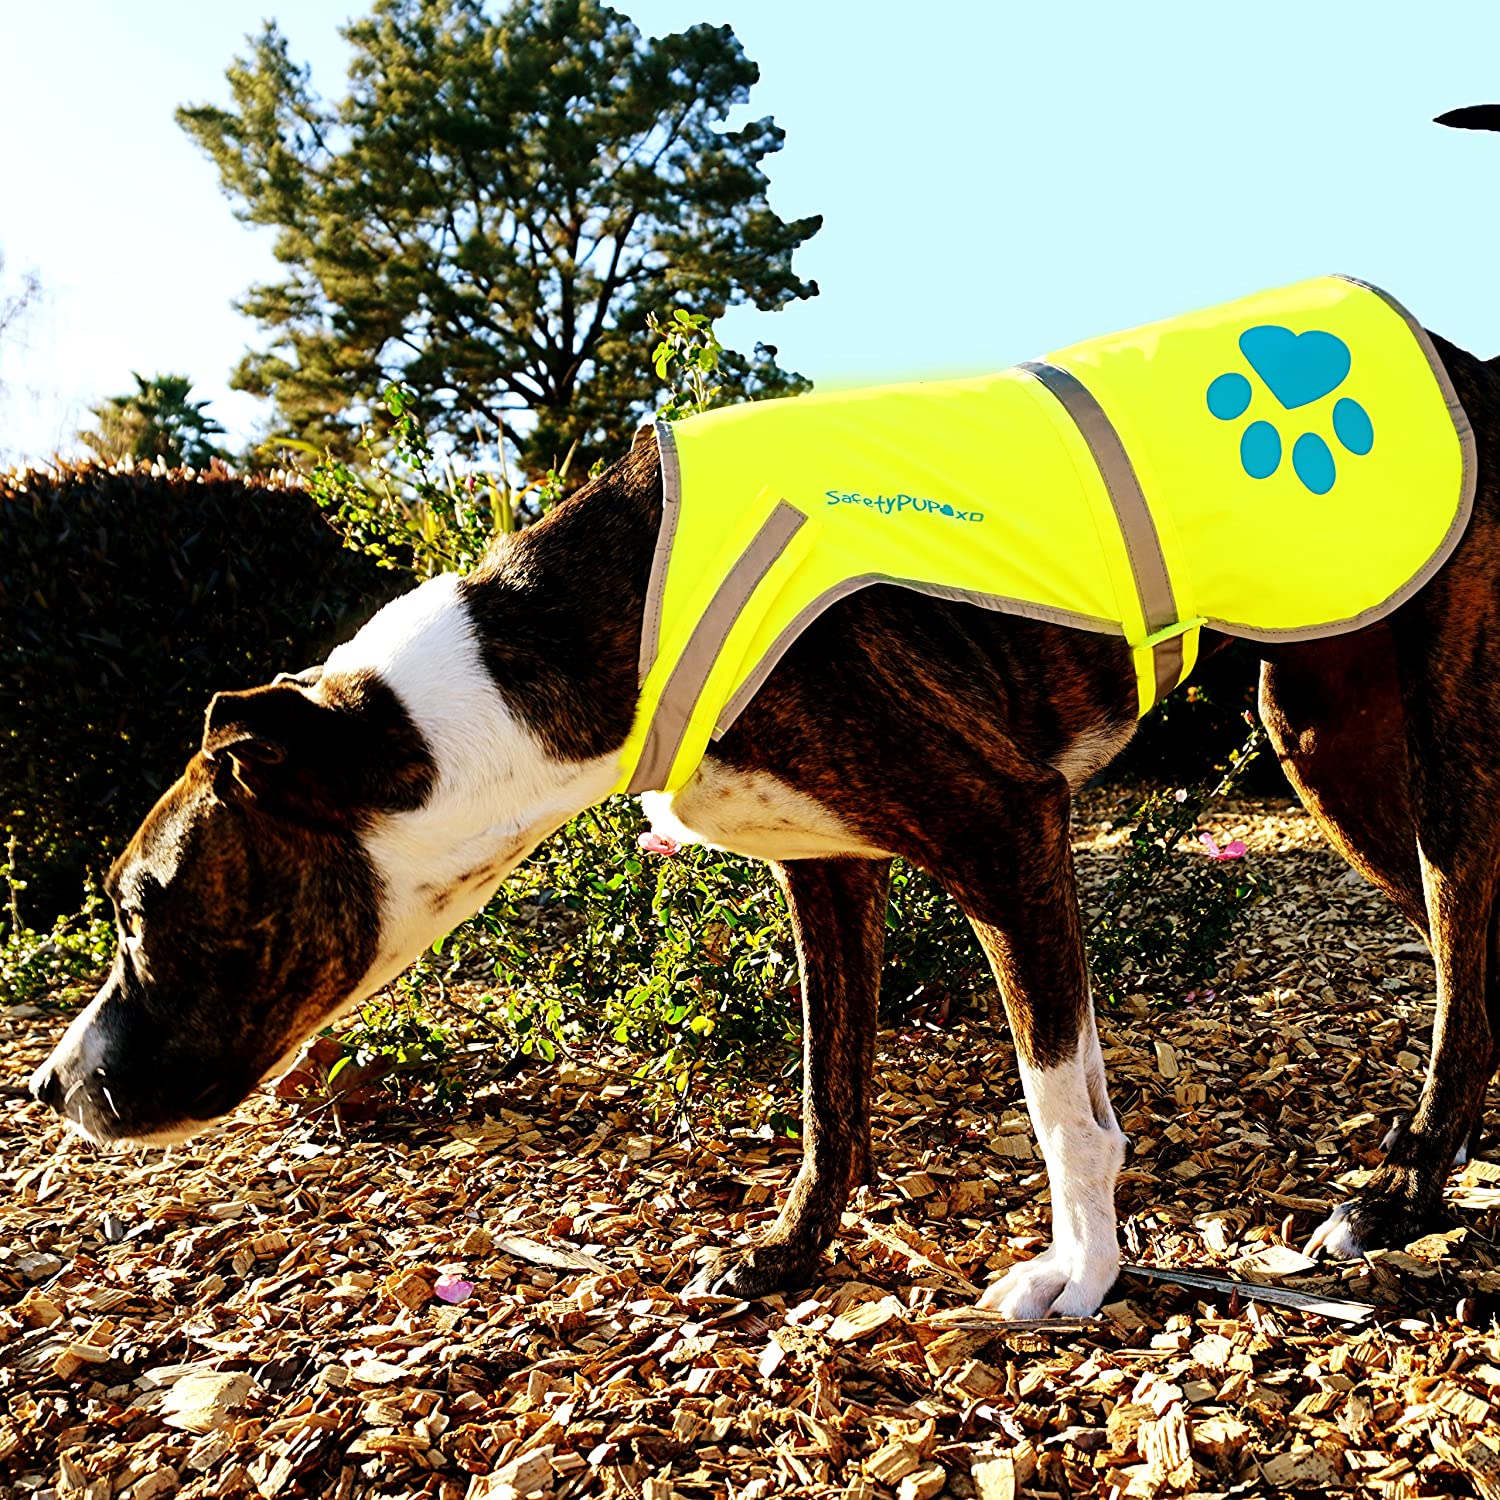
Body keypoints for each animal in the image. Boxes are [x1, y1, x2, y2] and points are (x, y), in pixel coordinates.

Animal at [29, 117, 1500, 1320]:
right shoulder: (828, 871)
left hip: (1425, 735)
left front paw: (1081, 1274)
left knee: (1462, 952)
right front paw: (793, 1253)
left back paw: (1400, 1196)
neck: (580, 636)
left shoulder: (1008, 828)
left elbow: (1059, 1102)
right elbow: (827, 1094)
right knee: (1471, 954)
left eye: (145, 909)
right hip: (1328, 741)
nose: (47, 1087)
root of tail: (1460, 355)